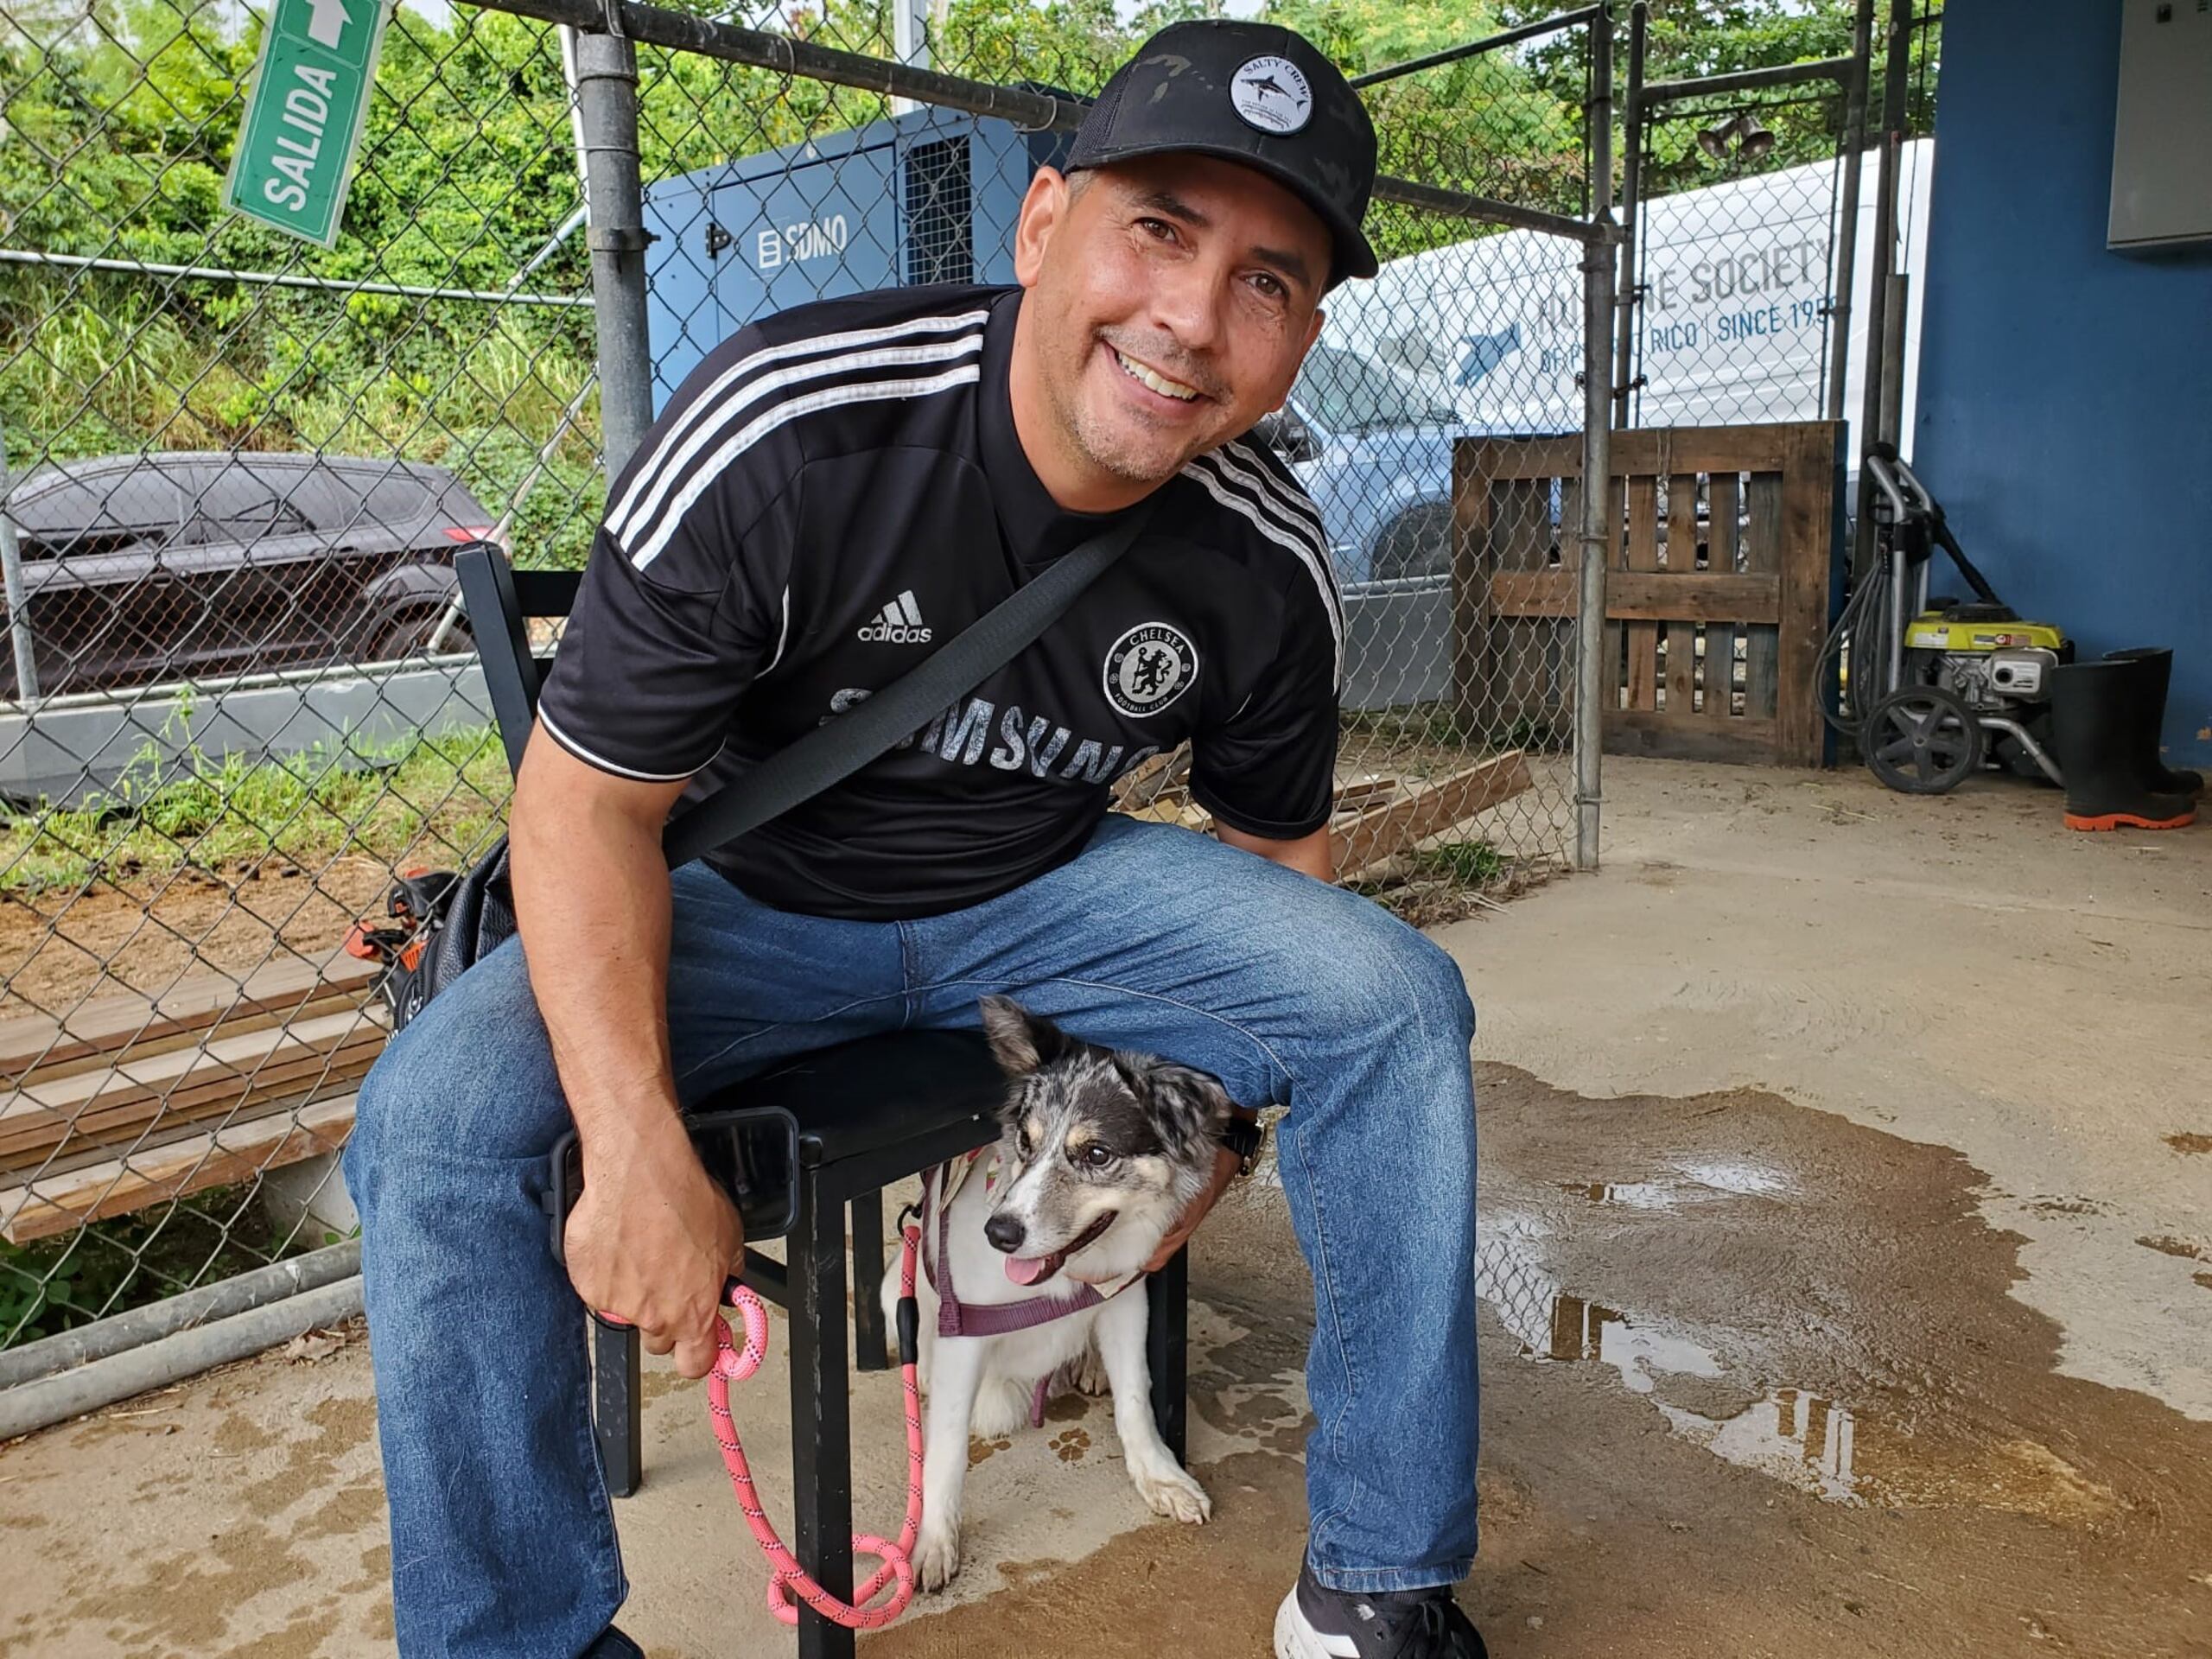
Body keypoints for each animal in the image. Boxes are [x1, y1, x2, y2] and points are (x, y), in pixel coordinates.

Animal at [893, 995, 1238, 1592]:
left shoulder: (1125, 1301)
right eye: (1026, 1143)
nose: (999, 1233)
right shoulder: (964, 1330)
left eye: (1097, 1154)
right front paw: (933, 1541)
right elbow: (948, 1448)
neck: (1064, 1278)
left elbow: (1135, 1398)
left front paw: (1160, 1477)